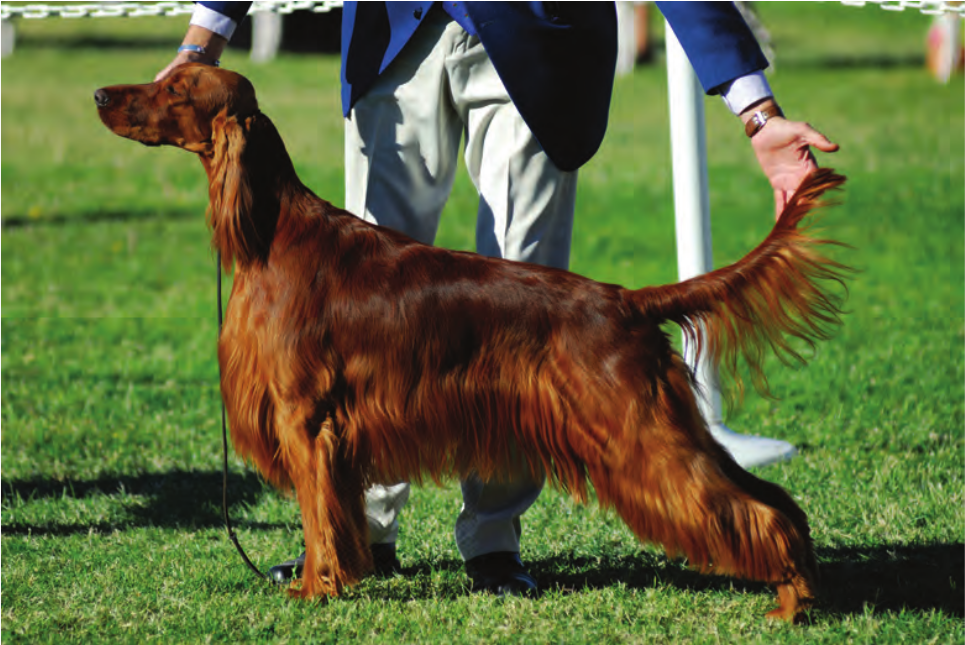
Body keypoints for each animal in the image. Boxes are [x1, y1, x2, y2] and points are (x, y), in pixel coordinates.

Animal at [98, 64, 848, 620]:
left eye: (175, 89)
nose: (102, 95)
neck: (270, 233)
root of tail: (623, 299)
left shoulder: (306, 420)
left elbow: (317, 519)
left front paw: (315, 589)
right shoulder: (332, 434)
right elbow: (336, 515)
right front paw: (341, 577)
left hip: (640, 433)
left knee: (752, 508)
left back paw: (790, 600)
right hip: (662, 426)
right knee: (774, 499)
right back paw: (802, 588)